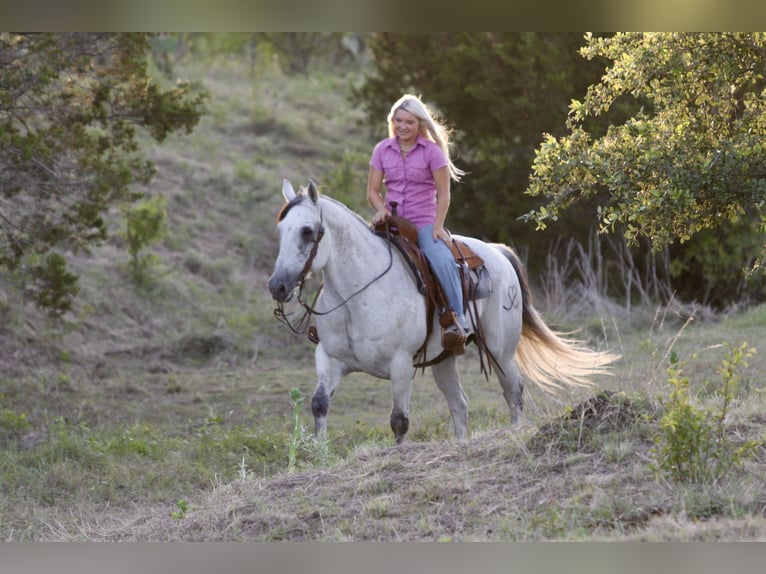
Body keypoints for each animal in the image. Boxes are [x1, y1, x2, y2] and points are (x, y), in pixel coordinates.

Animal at [267, 179, 619, 443]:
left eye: (307, 231)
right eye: (280, 230)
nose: (277, 286)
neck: (359, 295)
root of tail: (499, 252)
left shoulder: (400, 365)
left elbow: (399, 420)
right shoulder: (329, 359)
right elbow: (319, 405)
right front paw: (320, 456)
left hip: (501, 352)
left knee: (514, 391)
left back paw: (515, 432)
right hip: (443, 360)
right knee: (459, 405)